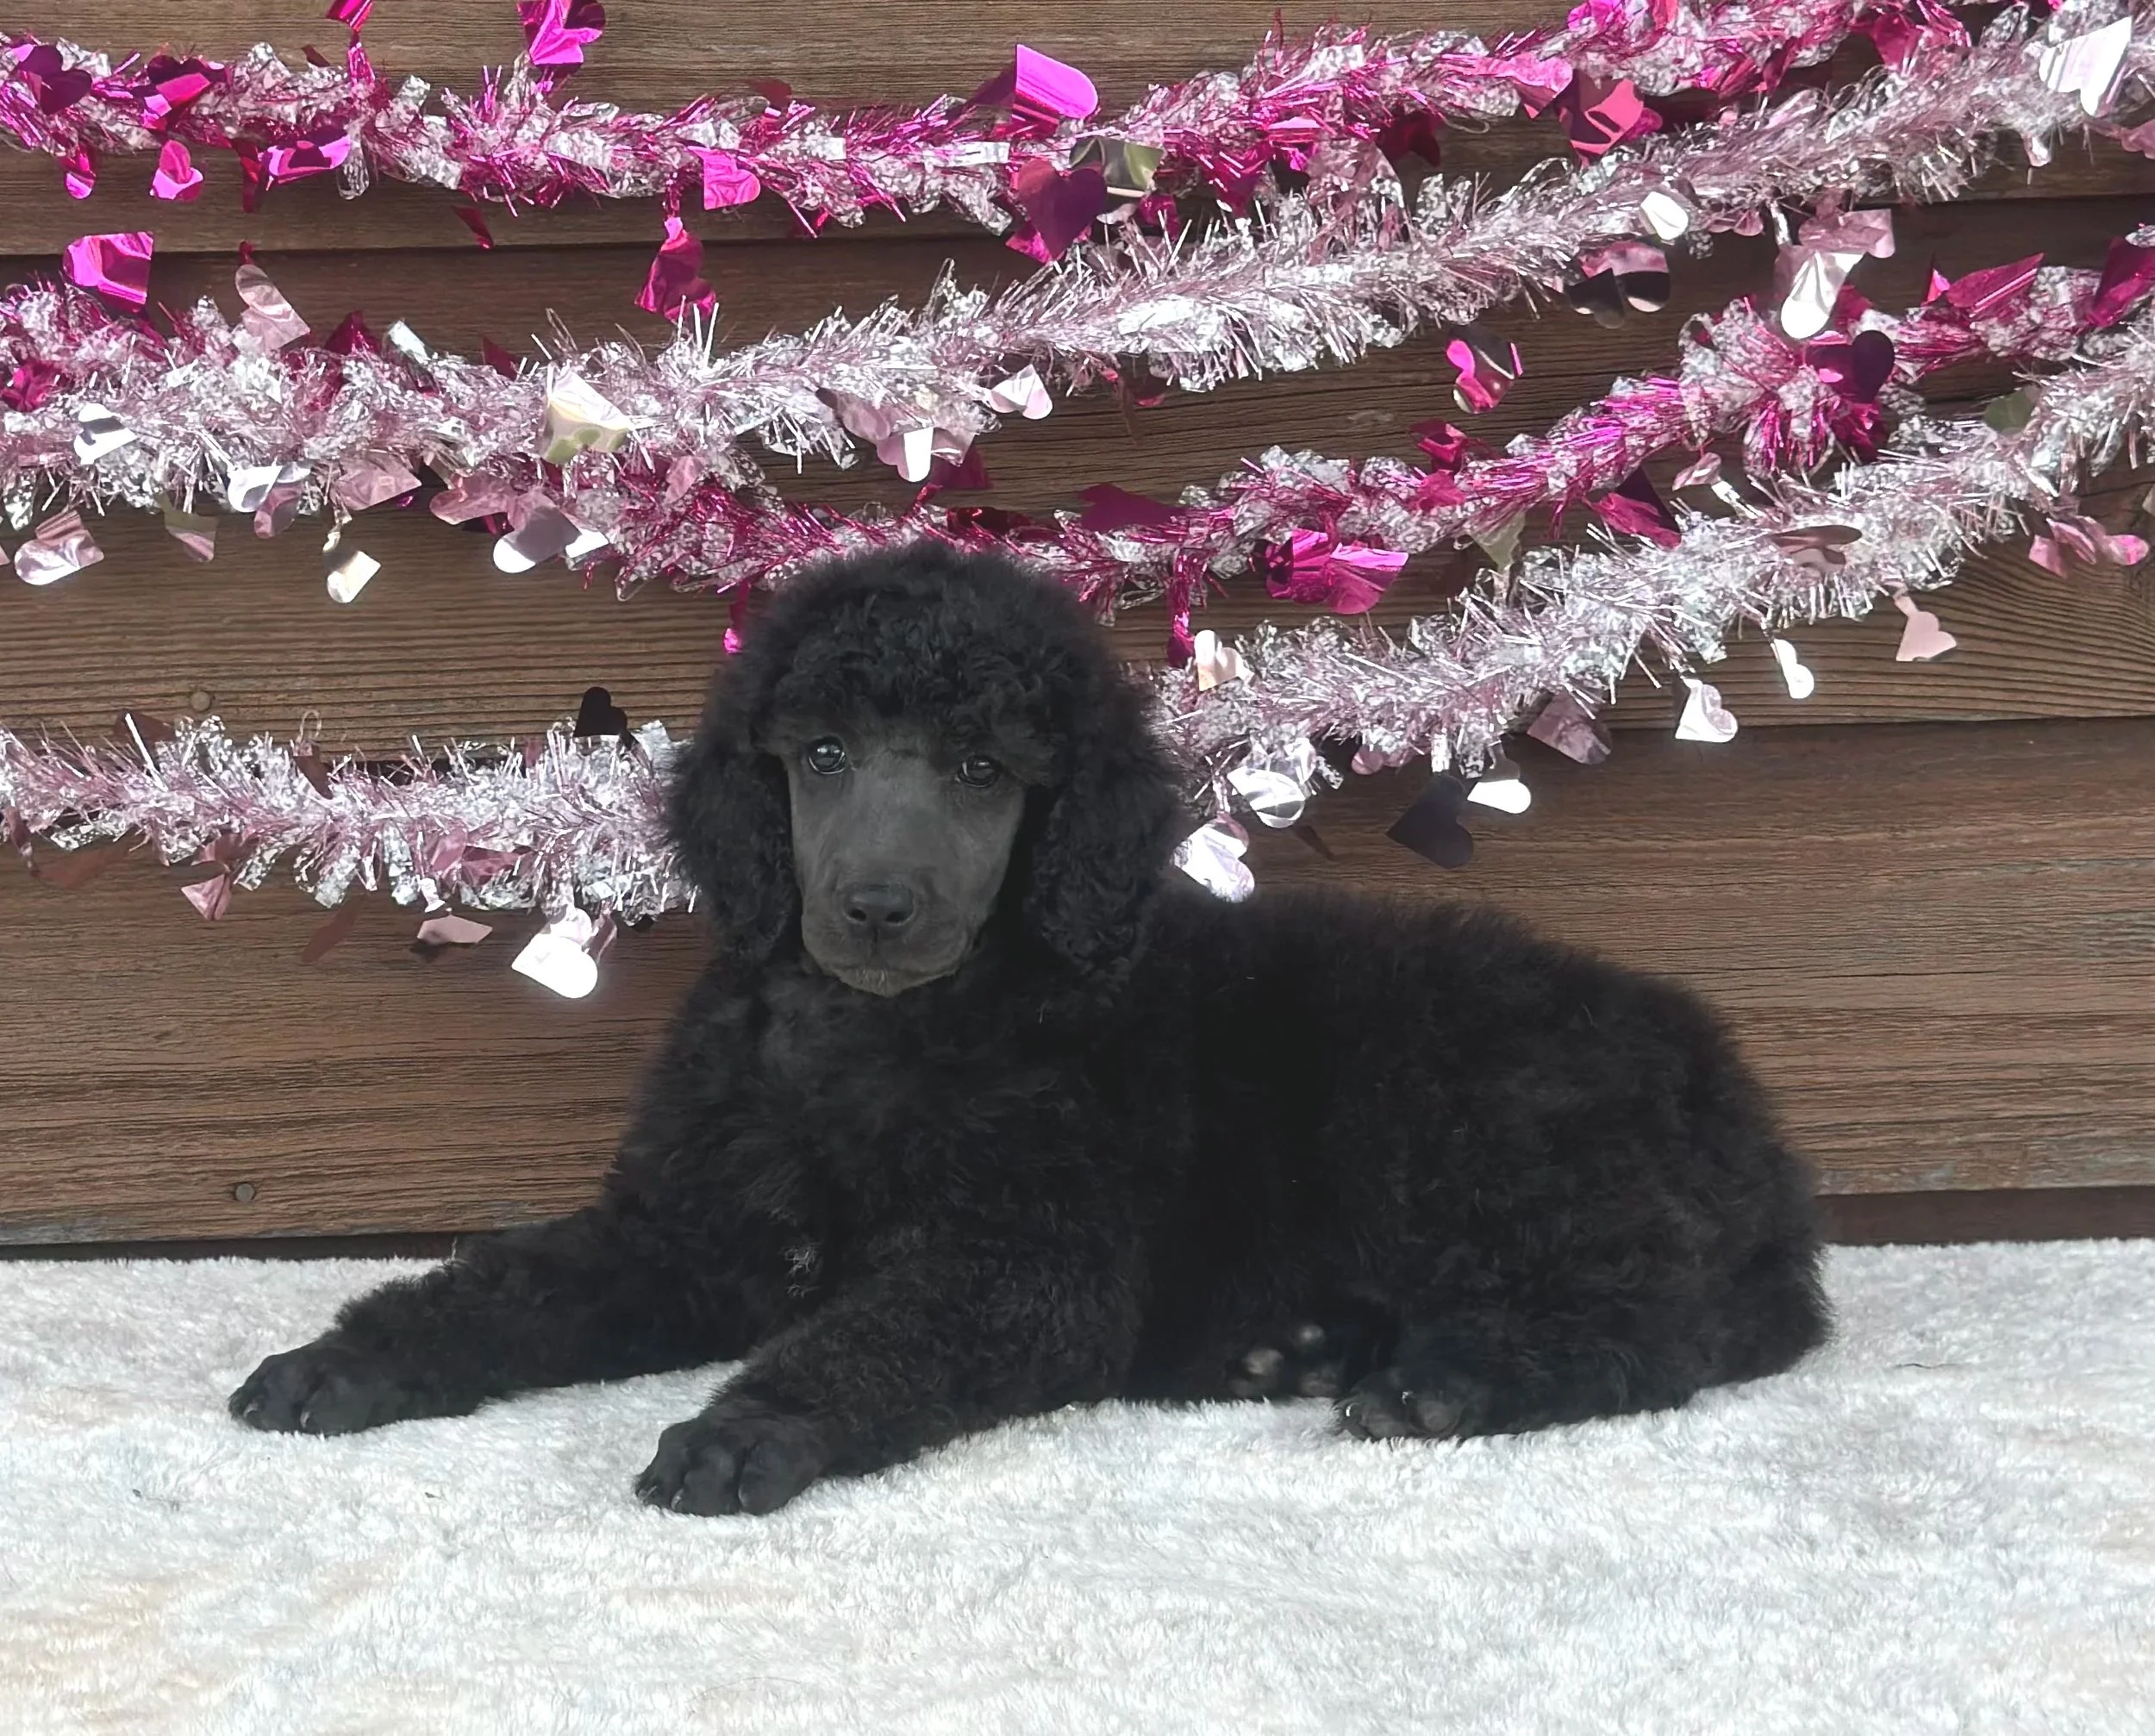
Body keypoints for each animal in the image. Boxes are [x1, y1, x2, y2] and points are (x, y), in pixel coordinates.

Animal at [230, 545, 1828, 1516]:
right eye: (819, 755)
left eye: (984, 771)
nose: (874, 905)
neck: (878, 1040)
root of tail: (1749, 1118)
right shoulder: (682, 1228)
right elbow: (508, 1284)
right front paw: (341, 1361)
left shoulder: (1020, 1266)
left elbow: (875, 1337)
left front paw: (746, 1430)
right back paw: (1300, 1349)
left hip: (1477, 1122)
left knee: (1666, 1323)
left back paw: (1444, 1381)